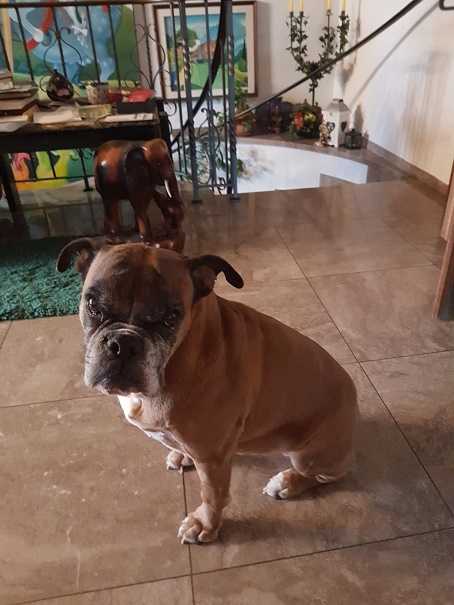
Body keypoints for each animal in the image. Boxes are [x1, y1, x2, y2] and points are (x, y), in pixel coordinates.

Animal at [57, 238, 359, 544]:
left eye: (171, 317)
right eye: (92, 304)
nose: (124, 343)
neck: (176, 358)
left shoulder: (213, 458)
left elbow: (213, 496)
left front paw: (205, 525)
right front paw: (182, 455)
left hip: (307, 455)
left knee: (330, 475)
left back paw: (286, 481)